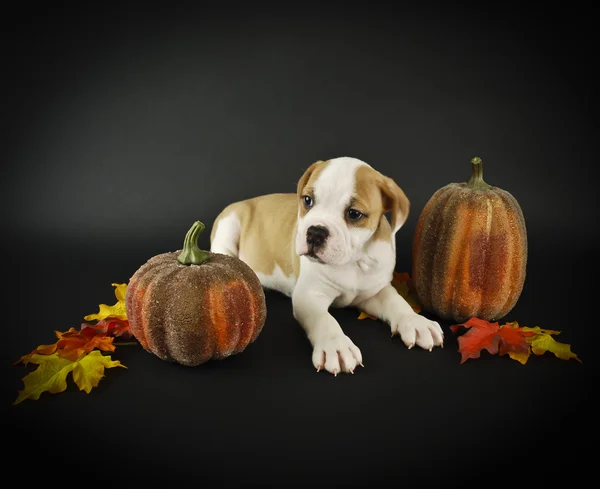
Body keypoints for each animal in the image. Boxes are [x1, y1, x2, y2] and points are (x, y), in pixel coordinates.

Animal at [209, 156, 442, 374]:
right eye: (308, 200)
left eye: (354, 214)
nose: (315, 232)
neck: (352, 261)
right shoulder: (308, 296)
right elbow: (324, 319)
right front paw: (336, 346)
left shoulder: (375, 291)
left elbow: (396, 301)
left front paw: (415, 321)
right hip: (229, 225)